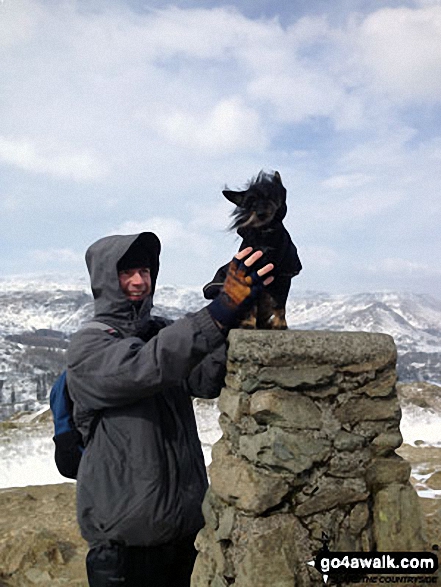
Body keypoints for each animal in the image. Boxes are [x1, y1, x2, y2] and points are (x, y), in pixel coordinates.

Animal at [204, 169, 300, 330]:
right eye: (250, 204)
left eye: (270, 196)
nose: (260, 214)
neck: (265, 234)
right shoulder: (249, 275)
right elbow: (250, 305)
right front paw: (248, 323)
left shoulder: (283, 277)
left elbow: (280, 304)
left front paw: (280, 324)